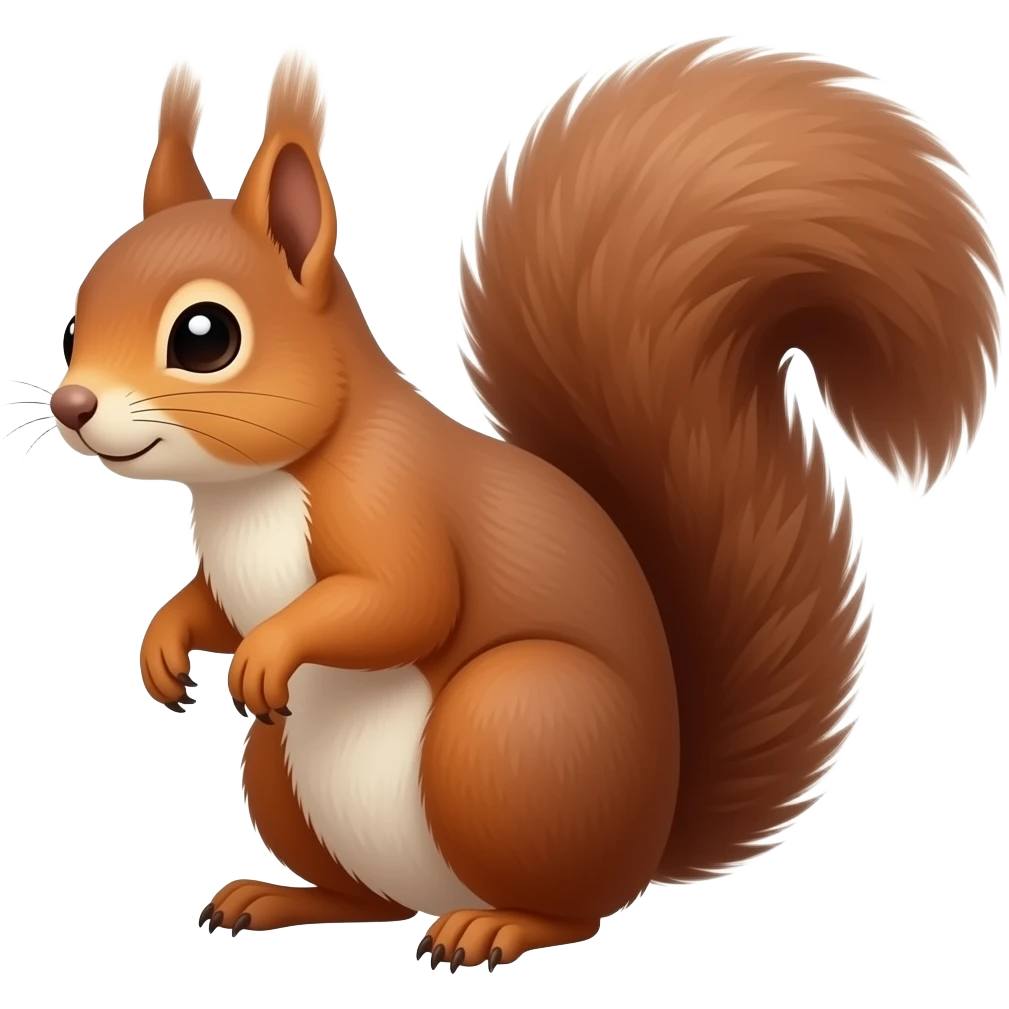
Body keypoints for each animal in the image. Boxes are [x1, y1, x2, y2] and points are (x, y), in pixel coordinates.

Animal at [50, 40, 1002, 968]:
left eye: (205, 336)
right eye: (74, 319)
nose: (71, 405)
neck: (250, 490)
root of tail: (648, 838)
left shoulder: (394, 500)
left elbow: (405, 602)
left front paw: (266, 652)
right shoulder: (232, 569)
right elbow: (212, 605)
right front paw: (163, 644)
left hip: (513, 726)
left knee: (572, 909)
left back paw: (496, 929)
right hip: (283, 772)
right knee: (368, 900)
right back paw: (282, 896)